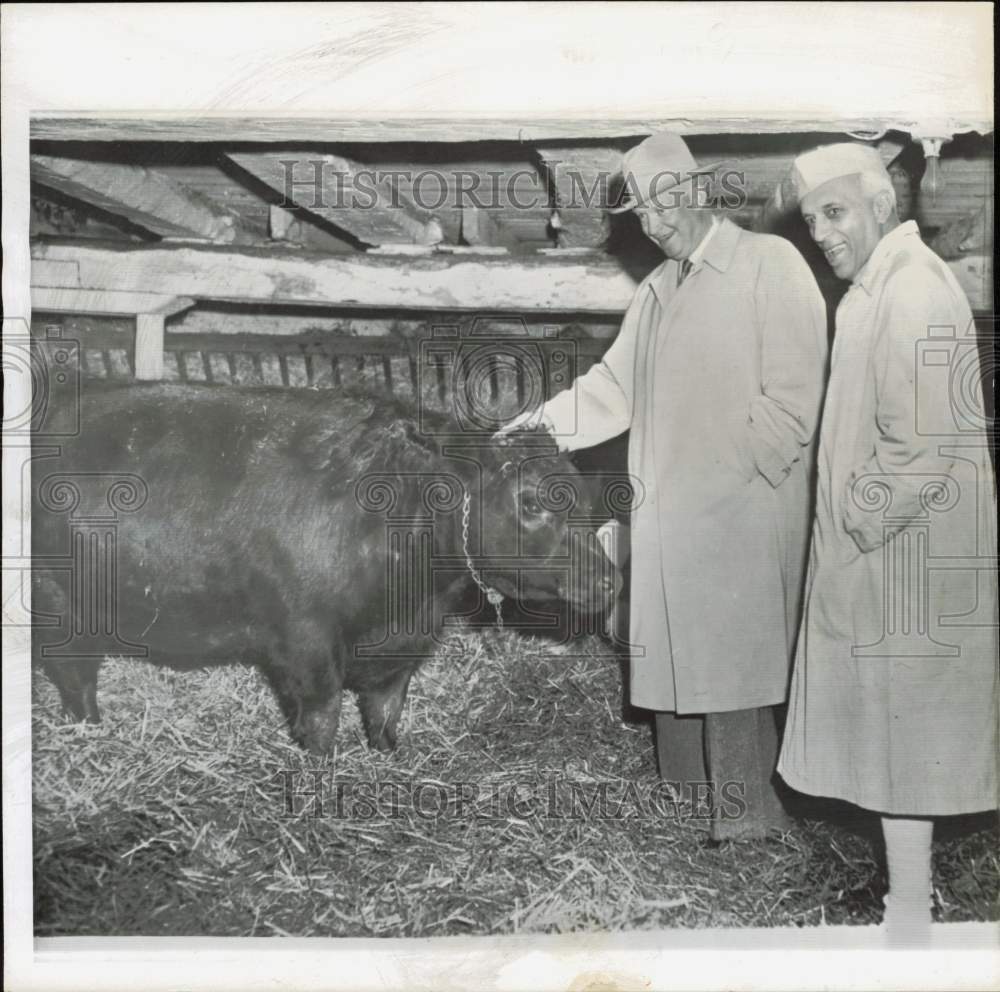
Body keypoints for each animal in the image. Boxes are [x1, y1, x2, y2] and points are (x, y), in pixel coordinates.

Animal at [31, 386, 616, 752]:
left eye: (585, 501)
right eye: (531, 501)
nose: (611, 579)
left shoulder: (403, 644)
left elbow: (385, 709)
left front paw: (389, 756)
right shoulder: (304, 640)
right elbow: (322, 716)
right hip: (58, 604)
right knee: (75, 676)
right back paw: (89, 730)